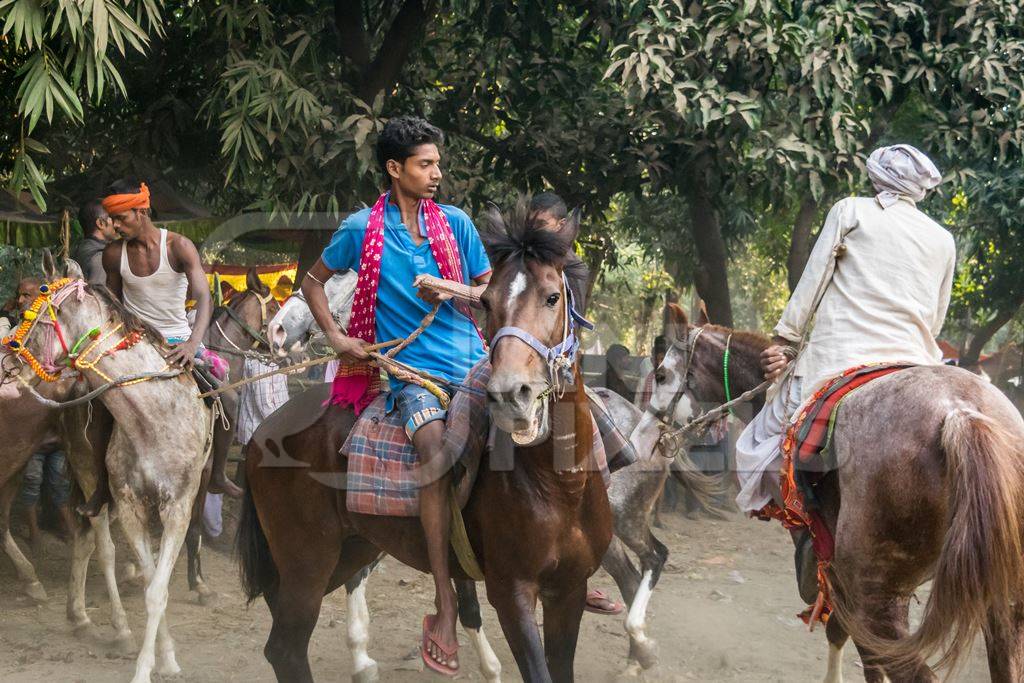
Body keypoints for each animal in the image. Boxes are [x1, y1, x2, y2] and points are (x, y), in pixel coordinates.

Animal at [238, 205, 606, 679]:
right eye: (487, 303)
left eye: (552, 297)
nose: (511, 395)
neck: (560, 486)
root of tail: (263, 432)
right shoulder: (513, 593)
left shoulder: (570, 590)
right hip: (307, 559)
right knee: (284, 649)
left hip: (348, 549)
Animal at [634, 305, 1024, 683]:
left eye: (662, 375)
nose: (644, 430)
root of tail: (959, 412)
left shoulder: (838, 577)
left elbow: (848, 641)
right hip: (1003, 597)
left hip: (876, 595)